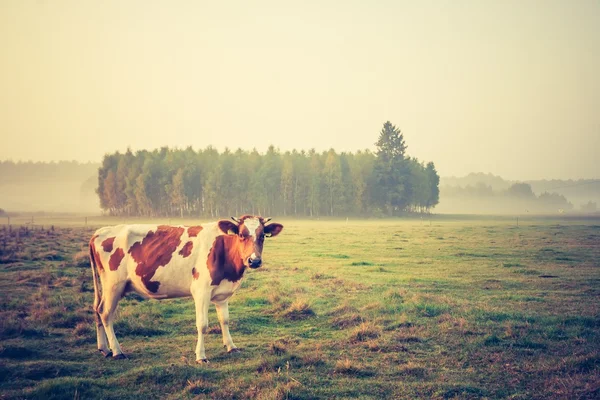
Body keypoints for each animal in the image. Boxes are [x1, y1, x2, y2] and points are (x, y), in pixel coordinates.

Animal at [88, 216, 284, 362]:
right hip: (113, 285)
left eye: (262, 236)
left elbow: (225, 320)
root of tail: (99, 232)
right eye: (242, 235)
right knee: (105, 313)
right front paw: (201, 356)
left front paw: (231, 346)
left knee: (97, 309)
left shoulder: (222, 294)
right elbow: (202, 324)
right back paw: (116, 351)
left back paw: (104, 348)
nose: (254, 260)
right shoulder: (201, 291)